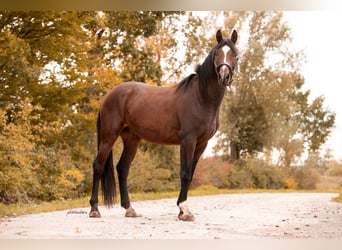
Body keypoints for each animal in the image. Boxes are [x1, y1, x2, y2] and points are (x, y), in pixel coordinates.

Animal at [89, 29, 239, 221]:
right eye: (216, 53)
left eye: (234, 54)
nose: (224, 76)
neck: (201, 98)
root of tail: (107, 96)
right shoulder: (188, 140)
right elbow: (185, 174)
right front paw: (184, 210)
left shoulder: (201, 144)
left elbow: (190, 174)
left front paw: (182, 211)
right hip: (109, 136)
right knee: (98, 166)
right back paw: (94, 209)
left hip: (131, 139)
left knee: (122, 168)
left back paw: (129, 209)